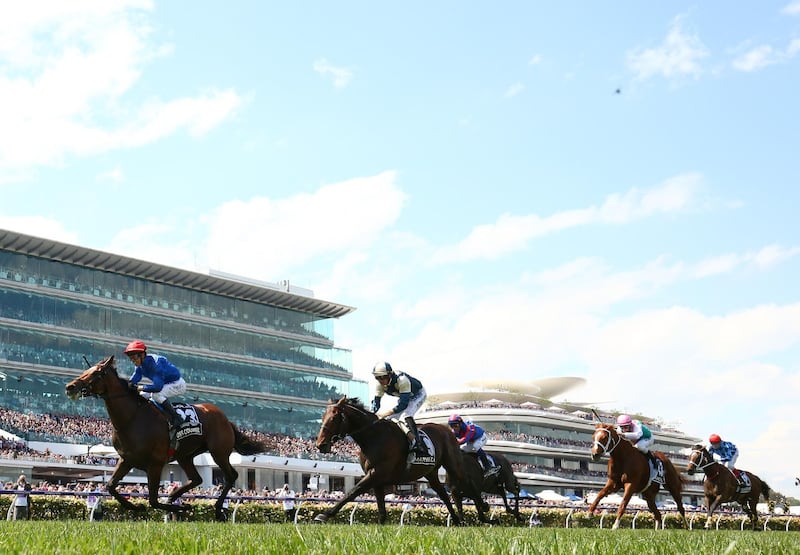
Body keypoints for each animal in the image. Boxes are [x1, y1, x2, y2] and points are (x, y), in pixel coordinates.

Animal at [65, 356, 266, 520]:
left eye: (96, 373)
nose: (70, 387)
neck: (132, 418)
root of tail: (226, 419)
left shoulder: (155, 463)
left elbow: (153, 500)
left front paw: (178, 508)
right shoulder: (126, 459)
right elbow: (110, 486)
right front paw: (136, 507)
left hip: (219, 452)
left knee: (231, 475)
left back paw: (216, 509)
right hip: (185, 456)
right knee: (197, 479)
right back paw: (173, 497)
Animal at [312, 396, 476, 524]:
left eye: (334, 418)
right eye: (322, 418)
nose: (320, 444)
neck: (373, 437)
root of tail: (448, 430)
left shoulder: (376, 473)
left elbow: (351, 492)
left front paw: (324, 515)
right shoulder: (376, 479)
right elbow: (381, 508)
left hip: (454, 465)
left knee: (465, 486)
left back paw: (477, 515)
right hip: (431, 472)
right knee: (443, 494)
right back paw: (457, 520)